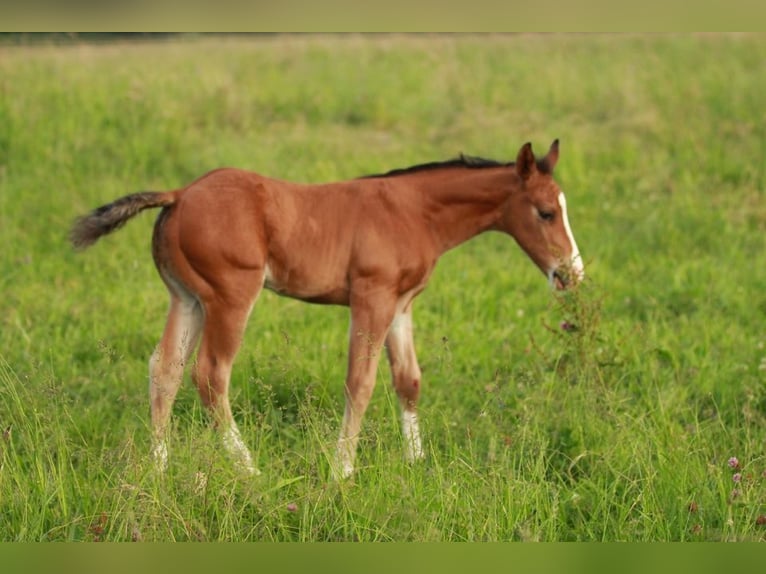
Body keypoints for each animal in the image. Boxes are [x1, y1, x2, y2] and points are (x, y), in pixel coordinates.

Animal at [73, 140, 588, 482]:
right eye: (545, 211)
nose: (571, 274)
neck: (414, 211)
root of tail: (179, 194)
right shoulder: (371, 298)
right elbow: (360, 383)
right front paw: (342, 471)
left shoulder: (400, 305)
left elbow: (409, 380)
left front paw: (416, 462)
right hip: (230, 297)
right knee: (211, 374)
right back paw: (249, 468)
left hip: (187, 298)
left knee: (165, 369)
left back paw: (160, 468)